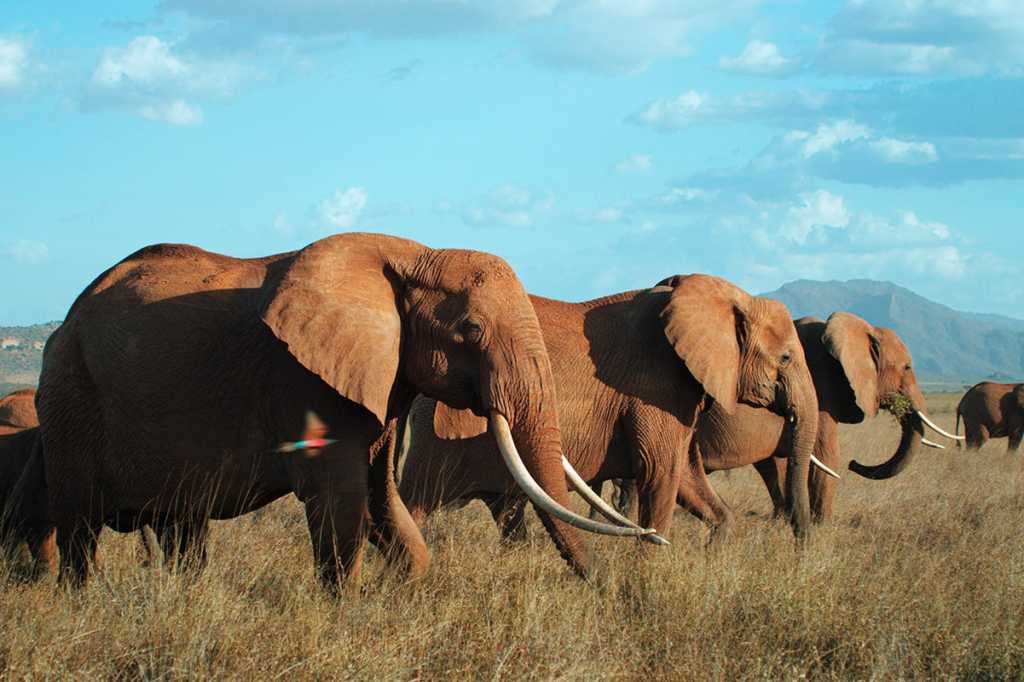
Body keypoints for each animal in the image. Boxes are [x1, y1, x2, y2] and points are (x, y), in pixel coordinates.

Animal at [36, 232, 648, 588]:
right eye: (472, 329)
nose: (602, 588)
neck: (409, 255)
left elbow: (379, 495)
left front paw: (408, 588)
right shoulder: (303, 380)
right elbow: (340, 494)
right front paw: (348, 606)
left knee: (181, 525)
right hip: (70, 396)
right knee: (79, 527)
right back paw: (82, 601)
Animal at [398, 274, 821, 547]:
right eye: (785, 358)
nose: (802, 545)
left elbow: (688, 478)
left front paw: (716, 547)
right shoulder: (654, 388)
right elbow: (661, 474)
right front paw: (648, 568)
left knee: (508, 512)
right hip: (436, 438)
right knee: (415, 502)